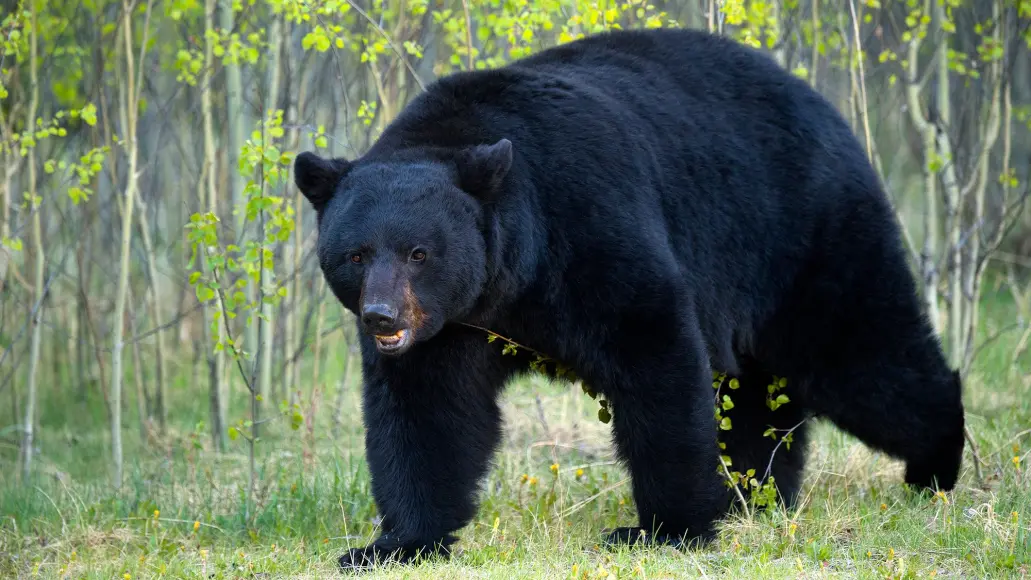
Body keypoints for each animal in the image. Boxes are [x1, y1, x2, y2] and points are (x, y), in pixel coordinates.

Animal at [292, 26, 965, 572]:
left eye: (419, 253)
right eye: (355, 255)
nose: (382, 317)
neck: (509, 278)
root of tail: (827, 109)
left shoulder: (587, 224)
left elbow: (653, 354)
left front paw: (666, 529)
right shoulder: (452, 327)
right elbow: (426, 411)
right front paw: (393, 543)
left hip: (801, 233)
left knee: (864, 354)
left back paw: (935, 464)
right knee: (756, 391)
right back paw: (753, 492)